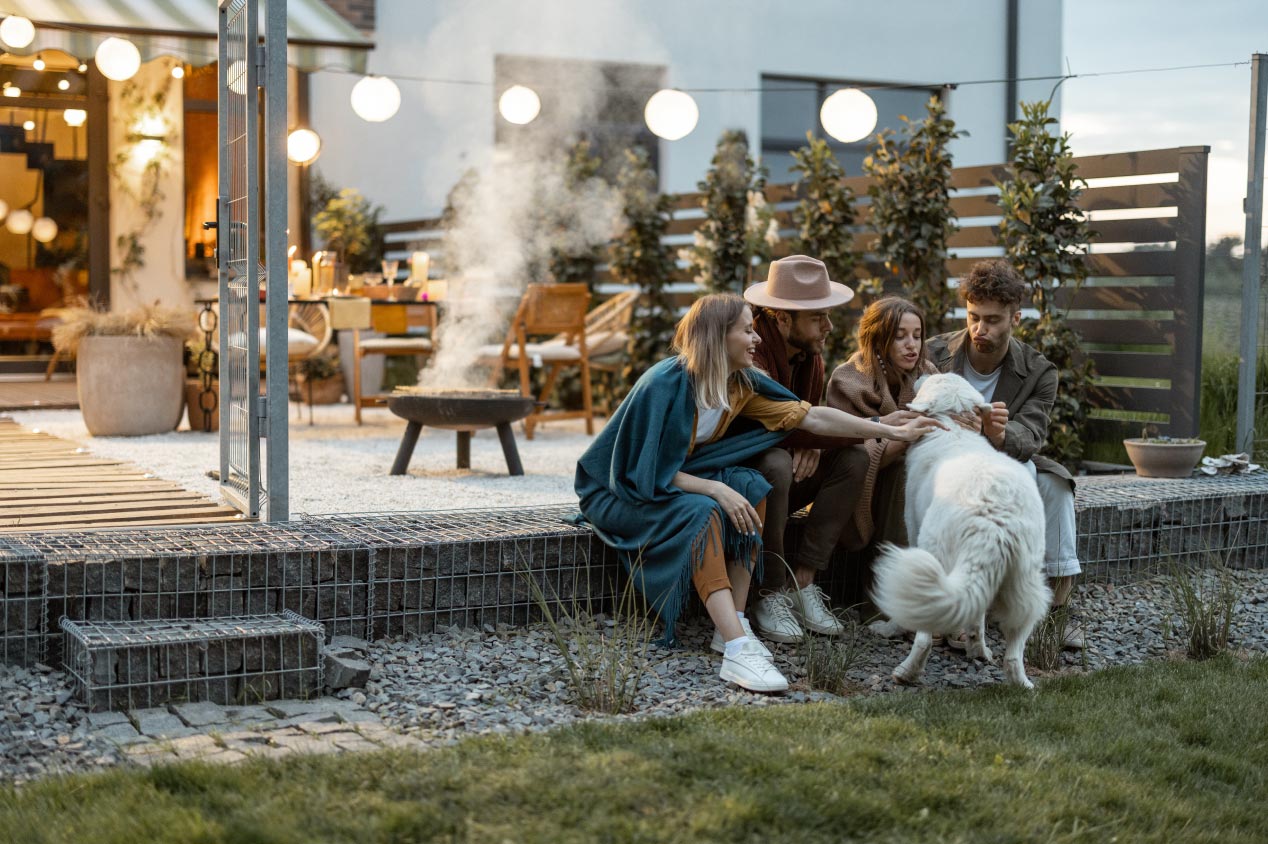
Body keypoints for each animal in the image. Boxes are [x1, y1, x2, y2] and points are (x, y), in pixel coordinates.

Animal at [872, 372, 1049, 689]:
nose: (922, 373)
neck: (953, 427)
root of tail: (993, 521)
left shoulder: (912, 527)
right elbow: (977, 618)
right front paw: (977, 647)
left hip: (932, 557)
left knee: (923, 636)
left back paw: (906, 673)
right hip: (1026, 583)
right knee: (1014, 651)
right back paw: (1017, 681)